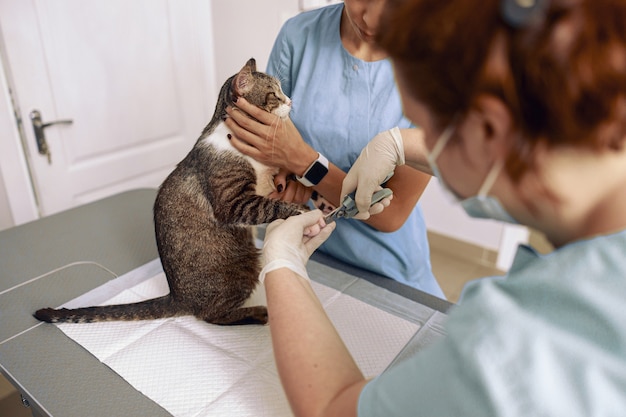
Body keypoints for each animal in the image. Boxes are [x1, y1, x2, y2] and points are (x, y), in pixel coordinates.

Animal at [35, 58, 304, 324]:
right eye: (274, 94)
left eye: (282, 91)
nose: (291, 101)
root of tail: (177, 296)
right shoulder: (233, 202)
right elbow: (266, 206)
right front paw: (298, 210)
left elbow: (273, 187)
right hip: (244, 266)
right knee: (211, 316)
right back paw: (256, 313)